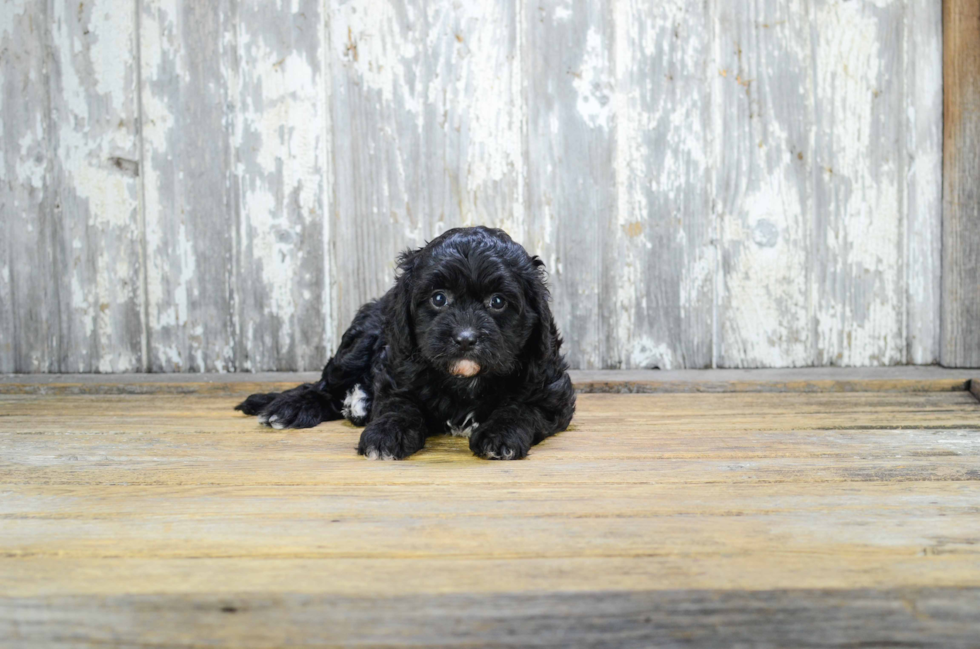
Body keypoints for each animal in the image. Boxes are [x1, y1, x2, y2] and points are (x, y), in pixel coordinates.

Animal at [236, 225, 576, 458]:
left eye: (497, 302)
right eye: (439, 298)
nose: (465, 339)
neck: (465, 382)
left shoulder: (549, 391)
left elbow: (520, 408)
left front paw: (500, 435)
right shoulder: (397, 374)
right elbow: (399, 406)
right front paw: (387, 434)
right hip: (360, 342)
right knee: (325, 386)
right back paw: (290, 407)